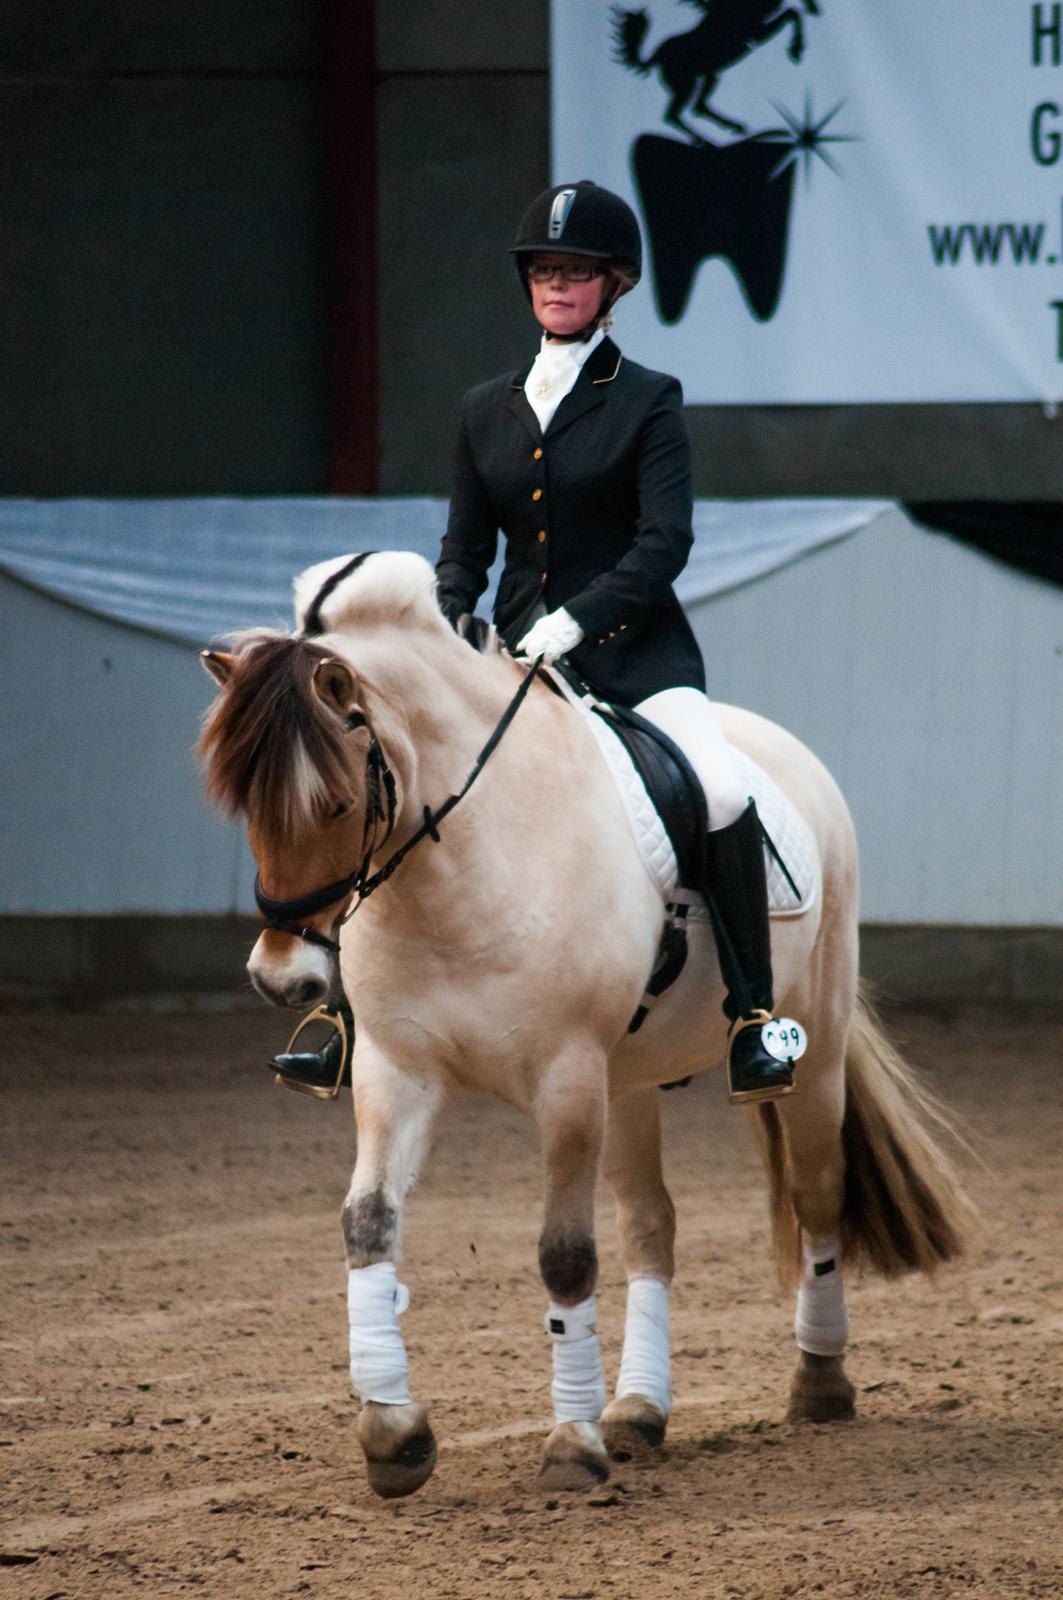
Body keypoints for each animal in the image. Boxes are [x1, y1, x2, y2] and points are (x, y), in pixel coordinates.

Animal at [196, 550, 973, 1497]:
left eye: (339, 805)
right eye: (242, 807)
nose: (282, 979)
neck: (459, 867)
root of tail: (781, 747)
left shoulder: (564, 1078)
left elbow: (564, 1255)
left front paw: (569, 1445)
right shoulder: (397, 1070)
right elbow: (367, 1223)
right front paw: (393, 1436)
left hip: (810, 1052)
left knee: (815, 1193)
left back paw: (817, 1383)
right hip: (628, 1082)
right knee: (650, 1227)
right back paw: (638, 1409)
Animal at [614, 0, 819, 140]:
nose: (816, 9)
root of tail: (655, 56)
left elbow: (791, 12)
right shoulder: (756, 33)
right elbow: (792, 13)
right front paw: (796, 50)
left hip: (708, 76)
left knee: (698, 106)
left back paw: (733, 127)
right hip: (685, 83)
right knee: (674, 114)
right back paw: (702, 140)